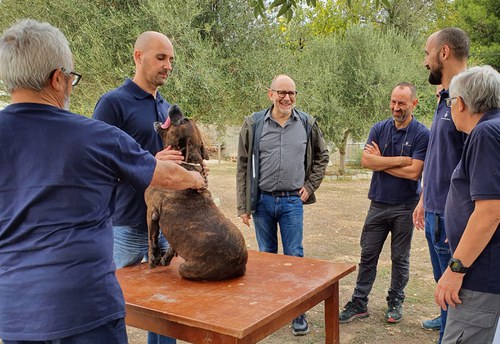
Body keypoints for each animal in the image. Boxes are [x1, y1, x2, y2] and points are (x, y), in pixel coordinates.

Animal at [144, 104, 247, 280]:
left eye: (182, 120)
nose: (175, 106)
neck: (186, 162)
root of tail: (239, 263)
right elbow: (171, 244)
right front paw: (165, 257)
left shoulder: (152, 211)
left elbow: (152, 238)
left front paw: (152, 259)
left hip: (186, 268)